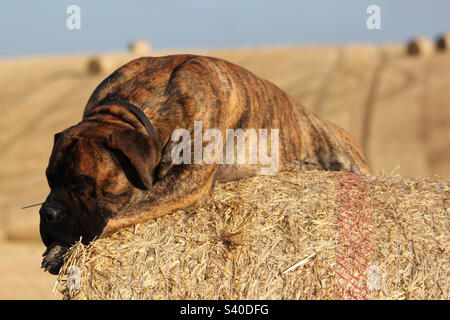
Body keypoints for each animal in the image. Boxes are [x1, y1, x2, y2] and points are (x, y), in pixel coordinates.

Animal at [39, 53, 370, 274]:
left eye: (82, 184)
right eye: (49, 180)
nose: (47, 213)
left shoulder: (187, 181)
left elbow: (117, 215)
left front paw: (60, 250)